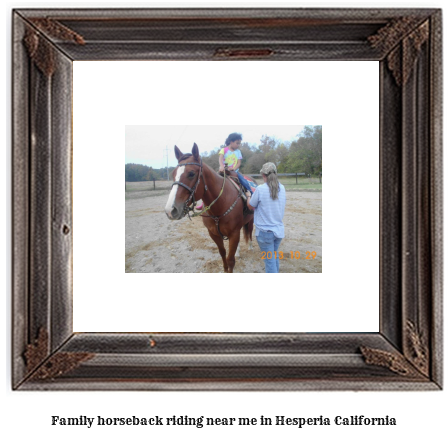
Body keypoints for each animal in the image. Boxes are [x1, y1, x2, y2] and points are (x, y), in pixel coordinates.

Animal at [164, 144, 256, 274]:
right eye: (173, 174)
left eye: (191, 173)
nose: (170, 210)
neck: (220, 205)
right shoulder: (214, 234)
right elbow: (223, 254)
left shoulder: (233, 234)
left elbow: (230, 260)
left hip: (251, 220)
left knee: (250, 232)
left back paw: (251, 247)